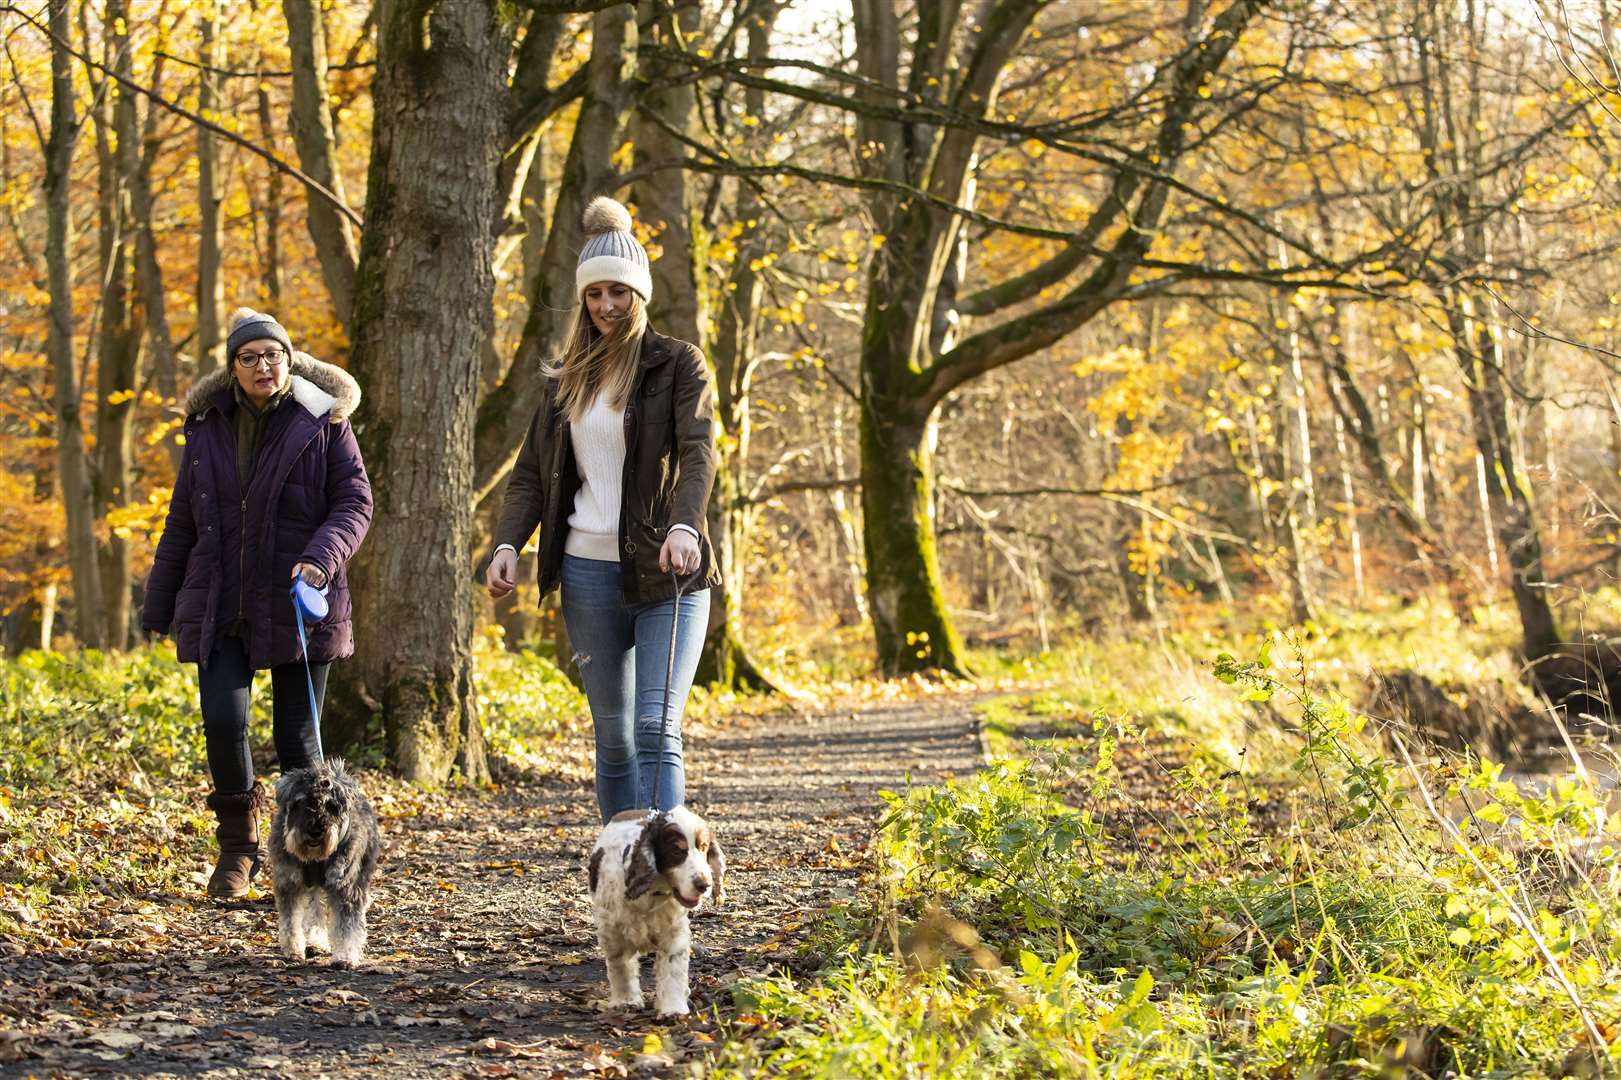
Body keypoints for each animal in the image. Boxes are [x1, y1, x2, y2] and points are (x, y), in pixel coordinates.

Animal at [275, 755, 382, 966]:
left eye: (331, 805)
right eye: (301, 802)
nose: (315, 831)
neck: (315, 856)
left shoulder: (346, 886)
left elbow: (346, 925)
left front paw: (345, 956)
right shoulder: (289, 883)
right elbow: (290, 920)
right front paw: (293, 949)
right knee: (314, 909)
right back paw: (315, 940)